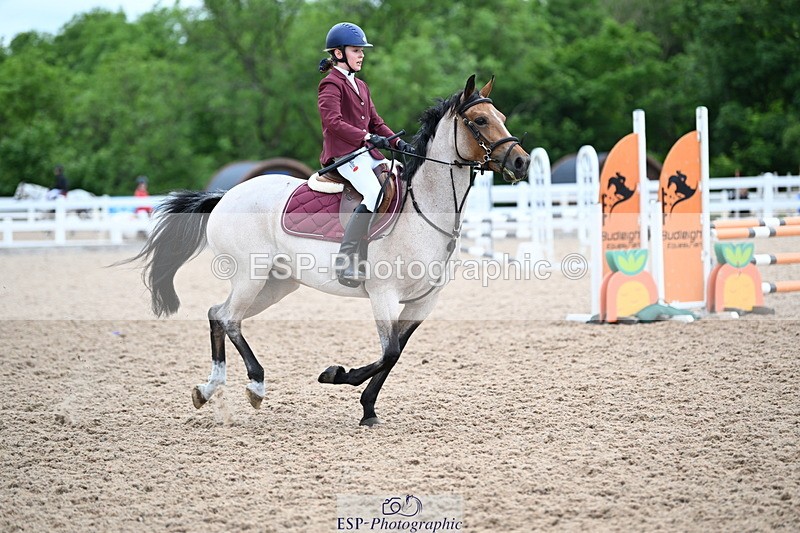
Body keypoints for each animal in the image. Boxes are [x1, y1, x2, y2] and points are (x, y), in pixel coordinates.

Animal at [126, 75, 530, 426]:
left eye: (502, 117)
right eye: (480, 120)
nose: (522, 161)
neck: (424, 210)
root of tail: (226, 195)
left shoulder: (422, 303)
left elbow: (395, 354)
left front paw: (368, 409)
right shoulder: (383, 294)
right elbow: (389, 352)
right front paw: (336, 375)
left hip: (275, 284)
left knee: (218, 314)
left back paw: (210, 389)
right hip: (250, 277)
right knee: (228, 318)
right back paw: (255, 383)